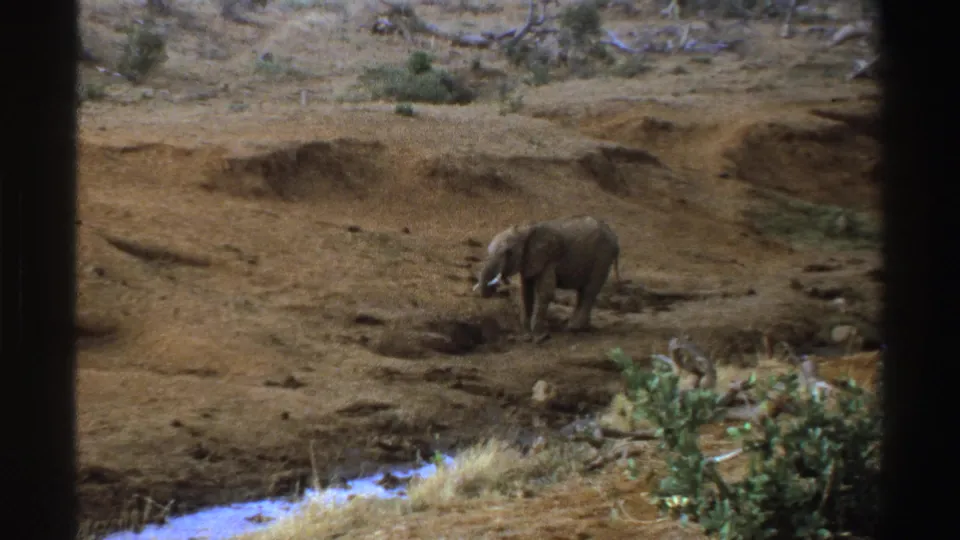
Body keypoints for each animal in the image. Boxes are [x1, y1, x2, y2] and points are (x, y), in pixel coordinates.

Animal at [473, 215, 621, 340]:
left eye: (509, 252)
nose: (493, 291)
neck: (525, 230)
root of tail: (615, 237)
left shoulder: (549, 258)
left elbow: (545, 292)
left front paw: (539, 337)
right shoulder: (528, 260)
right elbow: (525, 292)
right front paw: (526, 336)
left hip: (603, 256)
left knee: (590, 290)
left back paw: (574, 328)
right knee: (583, 291)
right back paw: (581, 327)